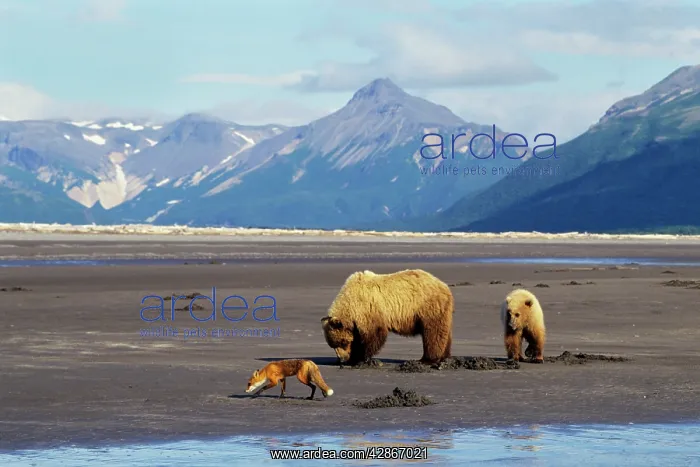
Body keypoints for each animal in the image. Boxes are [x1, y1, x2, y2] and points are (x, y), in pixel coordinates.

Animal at [320, 268, 455, 366]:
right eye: (332, 345)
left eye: (342, 342)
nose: (342, 359)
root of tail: (444, 285)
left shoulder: (368, 309)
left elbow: (374, 334)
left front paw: (359, 357)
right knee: (443, 332)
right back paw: (444, 356)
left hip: (428, 307)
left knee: (433, 333)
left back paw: (426, 359)